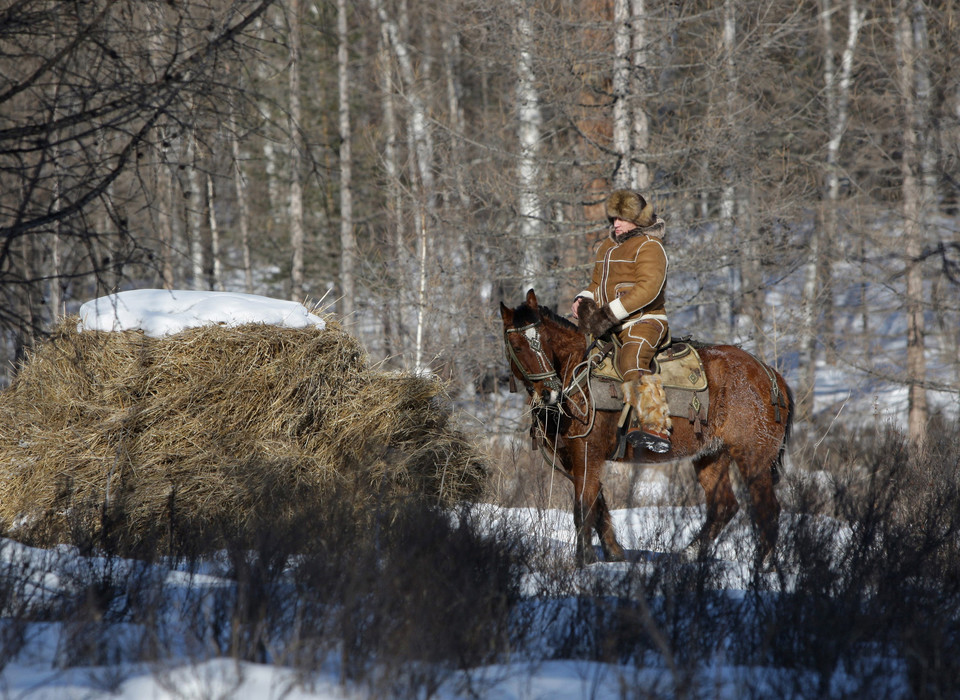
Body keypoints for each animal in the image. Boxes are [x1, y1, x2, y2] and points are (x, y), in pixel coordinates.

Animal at [498, 290, 792, 568]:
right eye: (517, 346)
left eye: (545, 342)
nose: (550, 393)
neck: (577, 378)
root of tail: (771, 375)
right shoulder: (574, 461)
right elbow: (599, 505)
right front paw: (613, 554)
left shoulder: (587, 455)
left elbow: (583, 509)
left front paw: (585, 561)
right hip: (712, 456)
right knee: (724, 506)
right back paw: (688, 555)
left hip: (753, 457)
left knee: (767, 508)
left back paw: (762, 566)